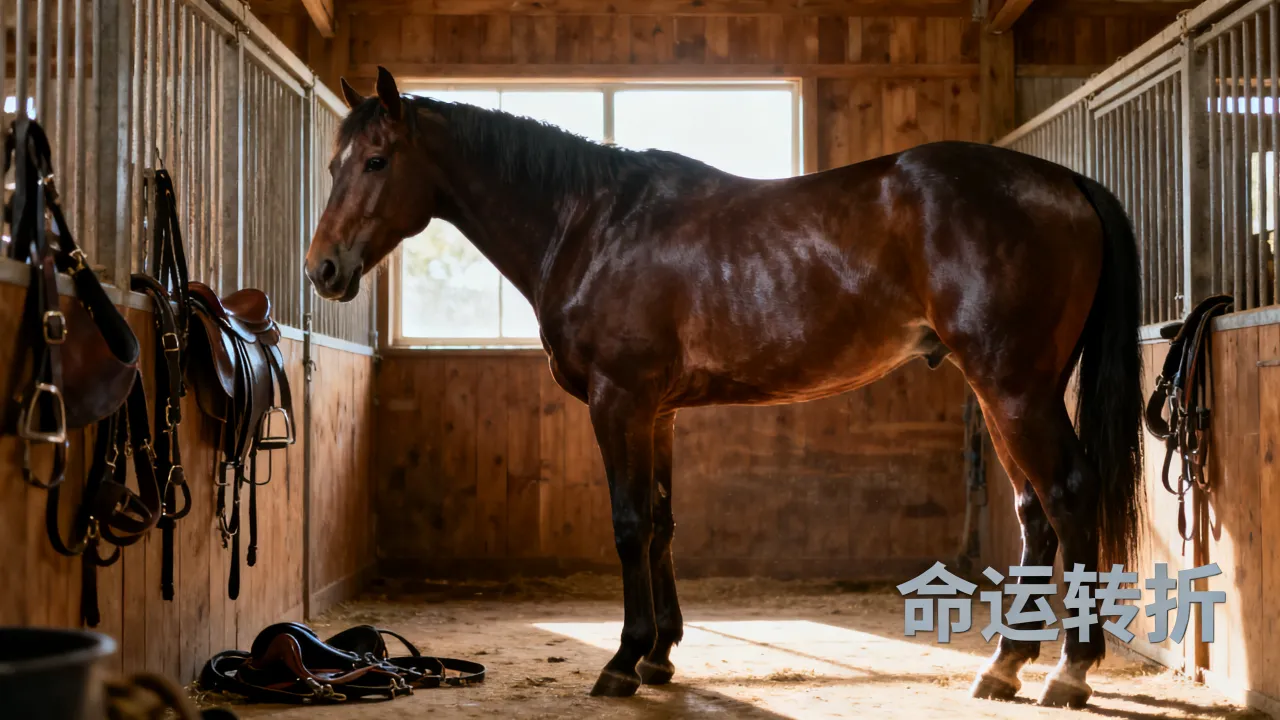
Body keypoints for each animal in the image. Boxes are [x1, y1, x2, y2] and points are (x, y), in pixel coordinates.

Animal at [305, 67, 1144, 709]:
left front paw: (623, 660)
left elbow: (629, 524)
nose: (324, 269)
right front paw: (660, 657)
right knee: (1035, 513)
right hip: (1009, 391)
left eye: (376, 161)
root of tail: (1063, 180)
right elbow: (663, 523)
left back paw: (1070, 671)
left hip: (1015, 386)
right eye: (333, 164)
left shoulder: (620, 401)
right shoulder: (658, 413)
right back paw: (1003, 667)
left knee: (1068, 494)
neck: (592, 226)